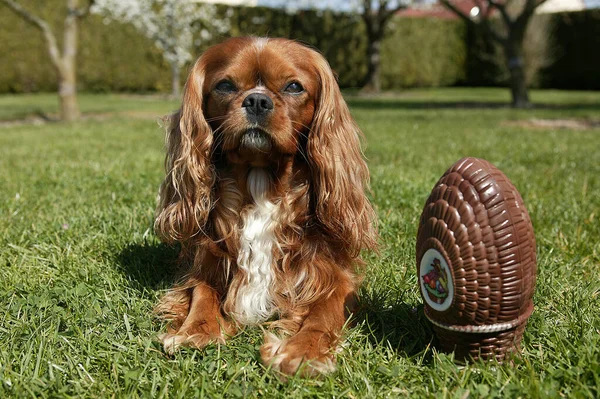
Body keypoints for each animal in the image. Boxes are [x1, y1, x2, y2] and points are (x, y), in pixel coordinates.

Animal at [155, 36, 380, 376]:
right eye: (225, 85)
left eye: (293, 87)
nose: (257, 101)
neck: (260, 183)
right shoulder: (206, 263)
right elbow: (202, 292)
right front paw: (196, 330)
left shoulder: (335, 277)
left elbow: (323, 314)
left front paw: (302, 351)